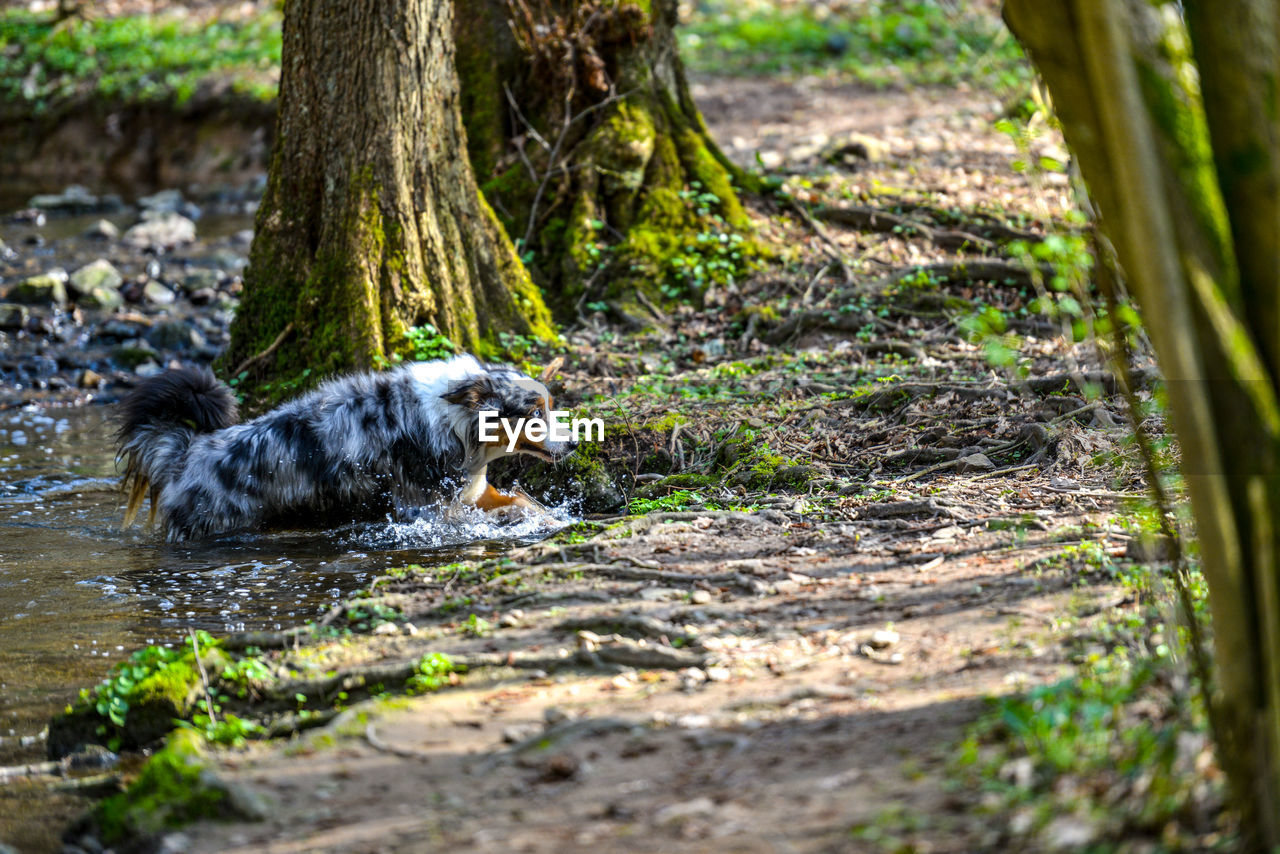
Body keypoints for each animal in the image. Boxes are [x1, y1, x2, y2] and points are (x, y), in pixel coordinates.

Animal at [115, 353, 576, 540]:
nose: (574, 443)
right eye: (535, 413)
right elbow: (499, 512)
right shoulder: (424, 511)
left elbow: (521, 500)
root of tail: (187, 454)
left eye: (551, 406)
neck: (457, 423)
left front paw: (553, 519)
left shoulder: (471, 492)